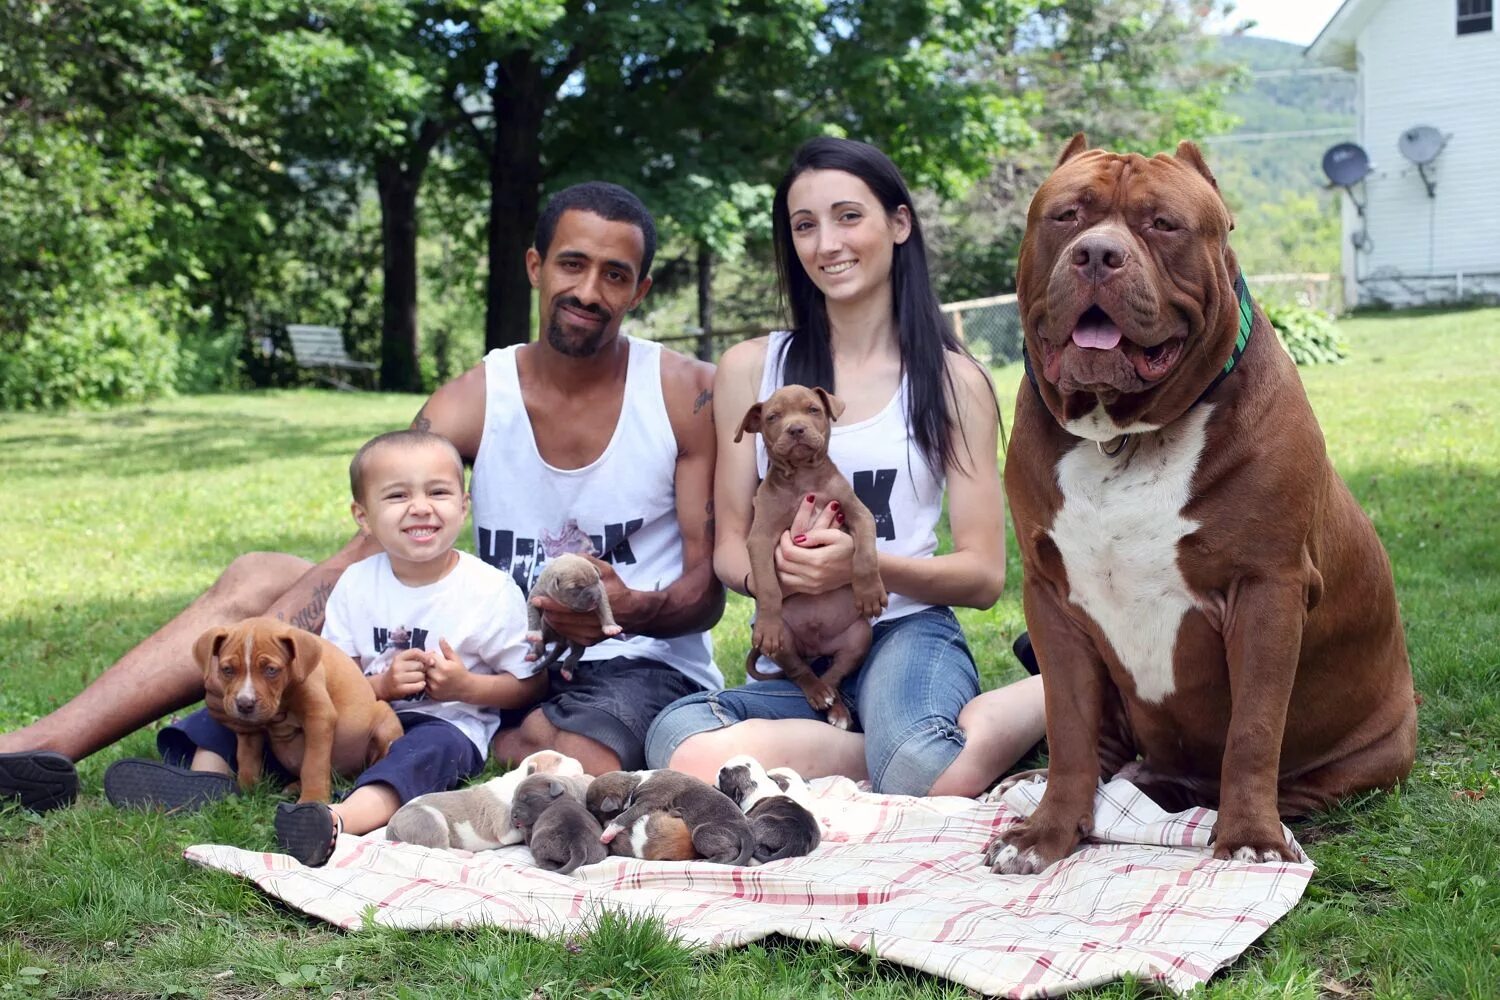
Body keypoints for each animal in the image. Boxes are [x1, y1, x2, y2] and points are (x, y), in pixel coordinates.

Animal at [387, 749, 585, 851]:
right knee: (440, 849)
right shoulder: (504, 821)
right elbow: (511, 834)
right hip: (430, 820)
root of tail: (391, 828)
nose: (580, 762)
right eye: (558, 760)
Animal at [528, 551, 621, 683]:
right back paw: (532, 655)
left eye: (596, 580)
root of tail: (561, 642)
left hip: (577, 641)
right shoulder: (537, 594)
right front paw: (533, 633)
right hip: (547, 631)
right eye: (577, 588)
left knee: (576, 654)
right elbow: (533, 612)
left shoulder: (601, 590)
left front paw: (611, 627)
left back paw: (566, 671)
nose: (595, 598)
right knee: (540, 645)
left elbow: (605, 608)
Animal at [600, 773, 756, 863]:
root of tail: (746, 830)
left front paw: (607, 833)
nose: (602, 825)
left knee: (731, 851)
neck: (638, 780)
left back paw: (707, 861)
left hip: (702, 832)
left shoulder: (649, 800)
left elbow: (626, 815)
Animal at [984, 134, 1416, 875]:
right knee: (1105, 747)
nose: (1097, 254)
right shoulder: (1049, 598)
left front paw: (1250, 837)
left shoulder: (1266, 591)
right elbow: (1067, 725)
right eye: (1068, 215)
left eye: (1163, 224)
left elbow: (1254, 727)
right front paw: (1046, 832)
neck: (1123, 436)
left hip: (1376, 749)